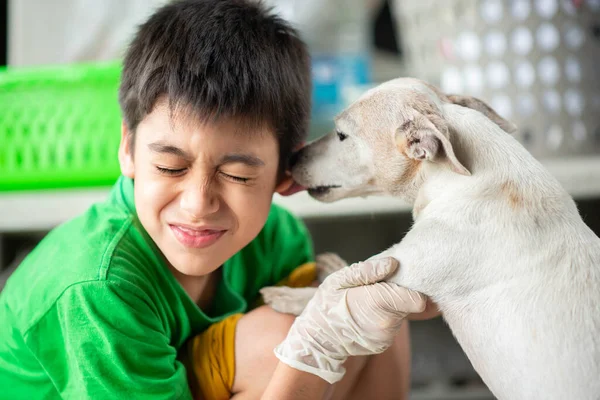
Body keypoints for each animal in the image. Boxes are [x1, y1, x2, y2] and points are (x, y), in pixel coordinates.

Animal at [264, 78, 600, 400]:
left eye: (341, 134)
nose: (291, 158)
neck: (463, 179)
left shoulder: (402, 270)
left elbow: (329, 293)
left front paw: (288, 296)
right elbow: (346, 273)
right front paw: (329, 267)